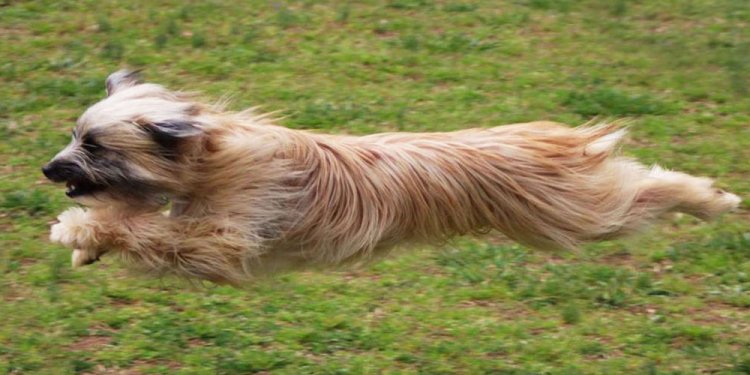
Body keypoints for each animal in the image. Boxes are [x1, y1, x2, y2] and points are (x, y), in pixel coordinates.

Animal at [44, 70, 744, 284]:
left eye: (94, 144)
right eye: (77, 135)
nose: (49, 168)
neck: (210, 154)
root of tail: (546, 137)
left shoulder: (231, 236)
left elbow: (164, 236)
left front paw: (78, 230)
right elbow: (141, 223)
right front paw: (90, 242)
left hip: (572, 213)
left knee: (647, 189)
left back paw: (713, 198)